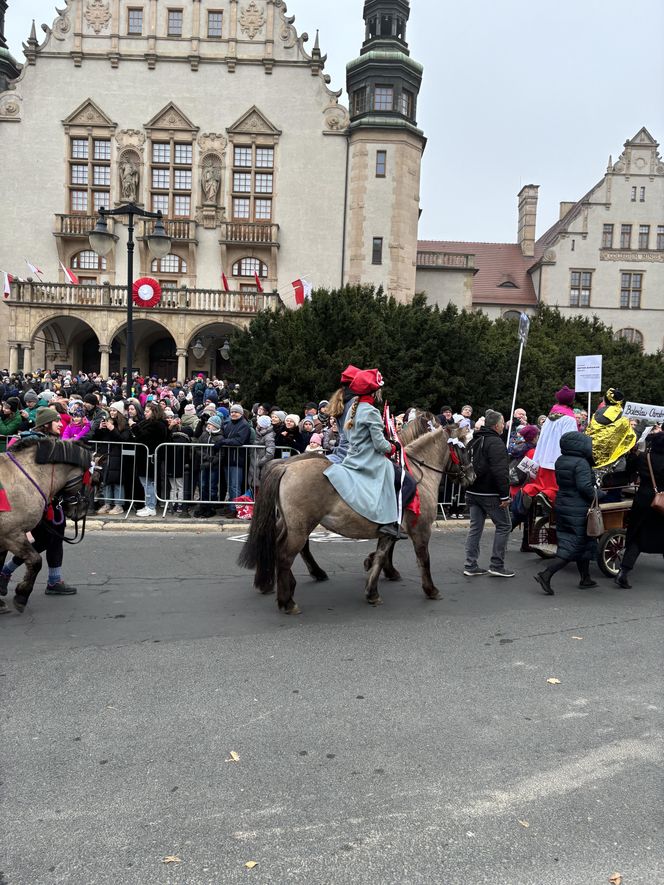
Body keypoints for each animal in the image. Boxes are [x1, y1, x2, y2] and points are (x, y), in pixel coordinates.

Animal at [237, 422, 472, 616]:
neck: (416, 473)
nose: (472, 476)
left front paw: (372, 590)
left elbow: (381, 556)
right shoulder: (421, 530)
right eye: (464, 448)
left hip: (291, 524)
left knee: (276, 545)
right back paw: (288, 601)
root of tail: (286, 466)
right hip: (300, 527)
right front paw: (431, 589)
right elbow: (423, 559)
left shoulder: (390, 530)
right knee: (285, 555)